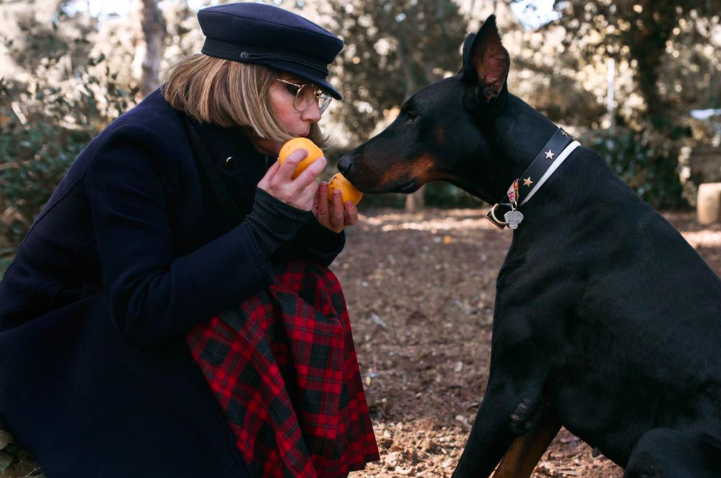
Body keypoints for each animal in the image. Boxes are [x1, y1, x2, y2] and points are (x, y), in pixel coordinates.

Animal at [338, 14, 720, 478]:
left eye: (412, 116)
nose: (342, 162)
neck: (540, 182)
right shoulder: (544, 401)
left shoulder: (511, 386)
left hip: (657, 444)